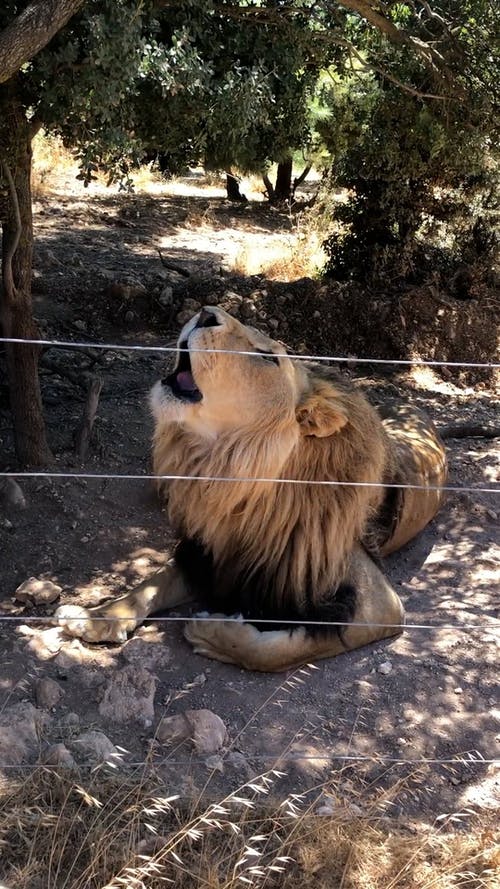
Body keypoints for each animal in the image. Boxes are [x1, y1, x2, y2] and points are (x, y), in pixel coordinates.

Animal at [56, 308, 448, 668]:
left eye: (268, 357)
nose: (206, 312)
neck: (232, 482)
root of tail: (412, 405)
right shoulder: (210, 553)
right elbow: (150, 584)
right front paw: (97, 616)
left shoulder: (380, 605)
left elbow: (274, 651)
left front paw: (210, 632)